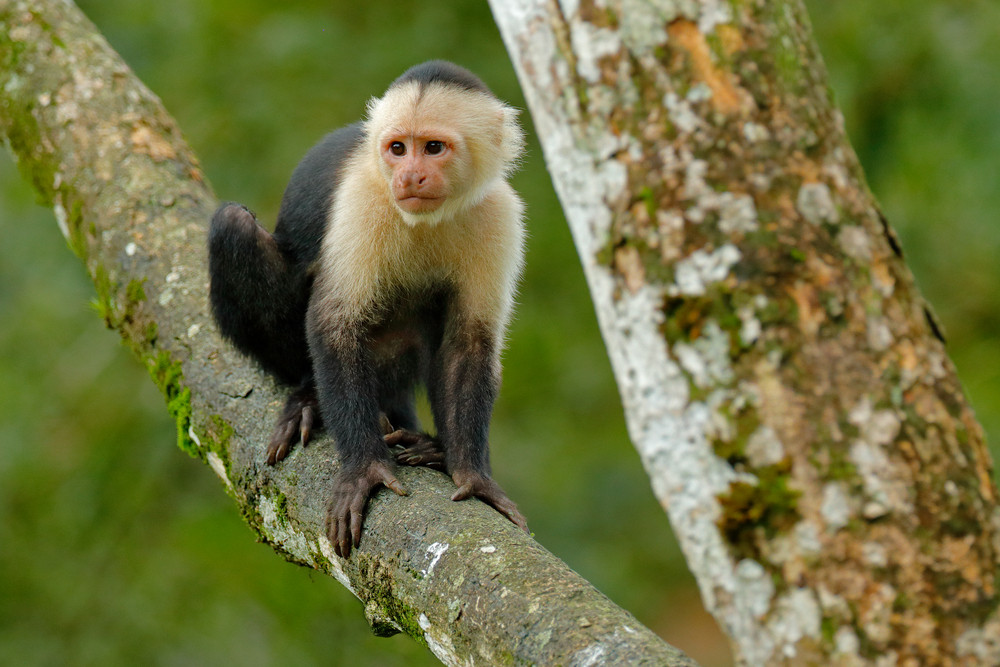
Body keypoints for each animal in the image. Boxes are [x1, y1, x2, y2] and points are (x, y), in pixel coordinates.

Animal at [208, 60, 528, 560]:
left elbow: (468, 343)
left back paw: (430, 446)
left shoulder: (498, 214)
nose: (409, 176)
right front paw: (364, 468)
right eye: (398, 149)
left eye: (432, 148)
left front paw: (472, 475)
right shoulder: (363, 199)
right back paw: (308, 396)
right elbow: (333, 323)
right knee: (233, 225)